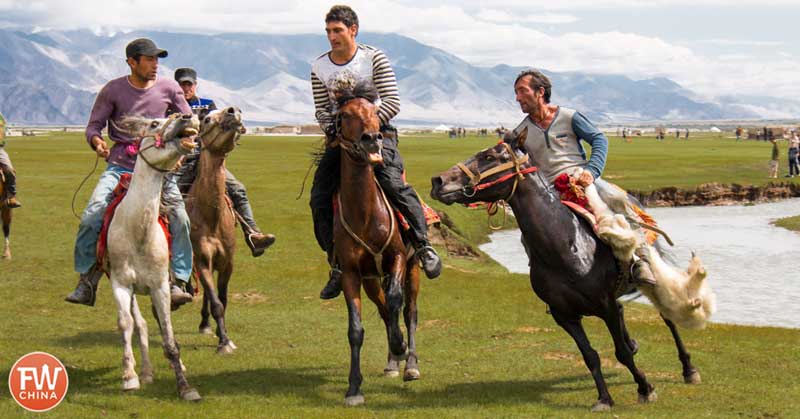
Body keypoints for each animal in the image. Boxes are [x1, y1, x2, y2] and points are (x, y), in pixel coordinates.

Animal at [104, 113, 202, 402]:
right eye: (154, 124)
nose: (188, 116)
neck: (138, 231)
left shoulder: (160, 287)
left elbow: (169, 336)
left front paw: (185, 387)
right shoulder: (121, 283)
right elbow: (126, 324)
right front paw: (129, 377)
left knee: (156, 324)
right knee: (142, 324)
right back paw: (145, 372)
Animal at [332, 82, 422, 406]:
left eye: (375, 112)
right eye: (345, 115)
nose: (372, 139)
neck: (366, 214)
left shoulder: (397, 257)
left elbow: (396, 301)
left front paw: (400, 346)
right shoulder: (351, 273)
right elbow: (356, 329)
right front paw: (353, 388)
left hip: (413, 268)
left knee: (409, 311)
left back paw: (409, 363)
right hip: (371, 279)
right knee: (384, 311)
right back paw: (393, 362)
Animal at [432, 130, 708, 412]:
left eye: (489, 156)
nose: (438, 181)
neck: (565, 247)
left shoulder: (605, 305)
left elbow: (620, 351)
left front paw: (645, 388)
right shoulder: (563, 315)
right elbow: (590, 356)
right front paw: (604, 398)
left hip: (648, 278)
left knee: (666, 316)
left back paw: (689, 370)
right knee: (624, 315)